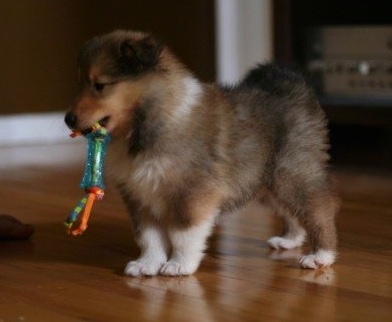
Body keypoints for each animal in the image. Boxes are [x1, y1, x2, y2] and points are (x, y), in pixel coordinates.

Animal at [64, 30, 336, 276]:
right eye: (80, 84)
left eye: (100, 85)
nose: (68, 119)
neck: (149, 122)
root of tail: (293, 84)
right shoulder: (140, 194)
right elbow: (149, 236)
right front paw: (147, 264)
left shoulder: (191, 193)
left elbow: (184, 233)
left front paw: (179, 265)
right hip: (265, 182)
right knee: (293, 212)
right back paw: (290, 240)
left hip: (291, 174)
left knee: (319, 209)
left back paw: (321, 256)